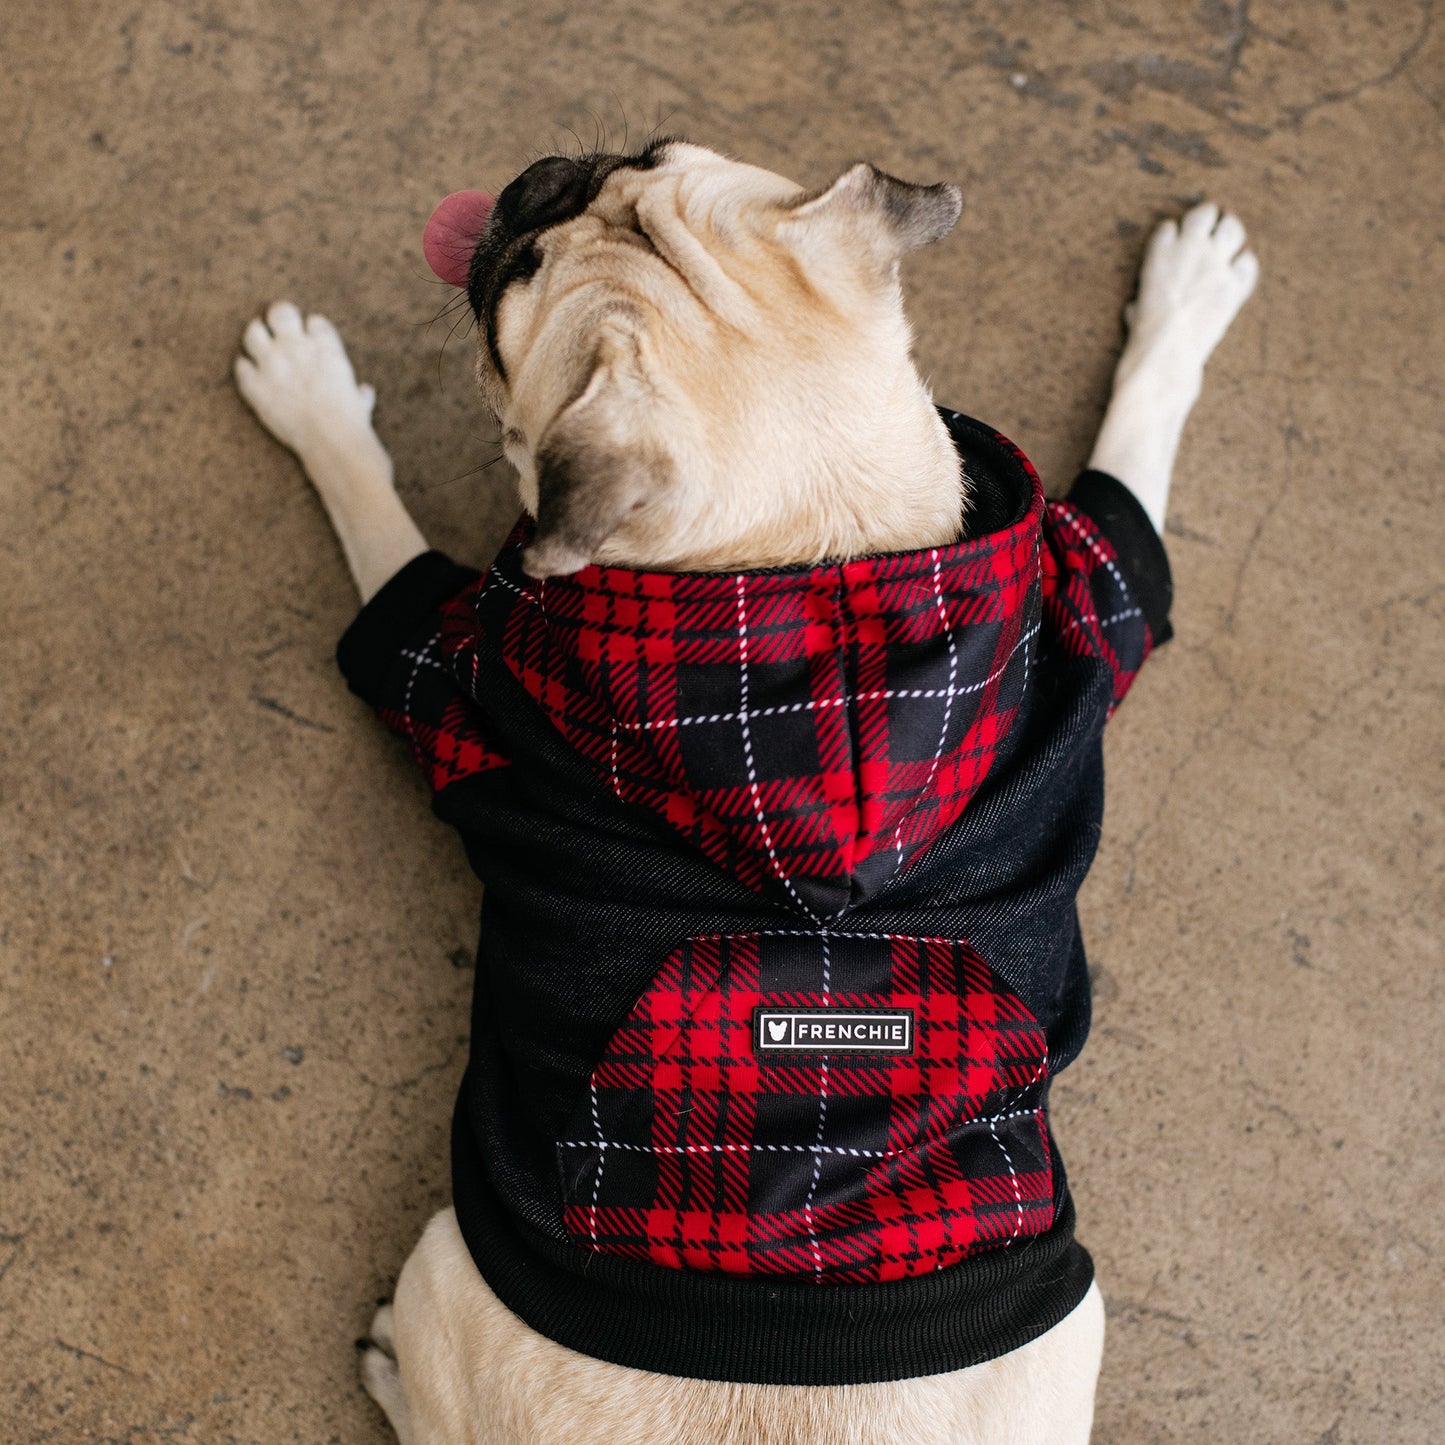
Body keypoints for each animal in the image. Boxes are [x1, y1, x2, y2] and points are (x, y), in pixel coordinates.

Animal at [234, 137, 1254, 1445]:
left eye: (520, 278)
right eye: (642, 153)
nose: (536, 181)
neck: (810, 566)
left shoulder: (450, 676)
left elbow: (379, 533)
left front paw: (310, 398)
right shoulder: (1092, 606)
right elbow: (1131, 469)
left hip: (441, 1253)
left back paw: (387, 1370)